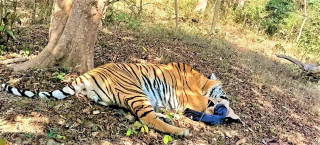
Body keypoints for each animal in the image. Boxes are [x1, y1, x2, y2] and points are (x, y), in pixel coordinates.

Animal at [1, 62, 239, 136]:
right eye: (225, 93)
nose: (229, 99)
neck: (199, 80)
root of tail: (86, 75)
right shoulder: (194, 100)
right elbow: (207, 104)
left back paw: (167, 117)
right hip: (135, 90)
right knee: (147, 119)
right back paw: (180, 130)